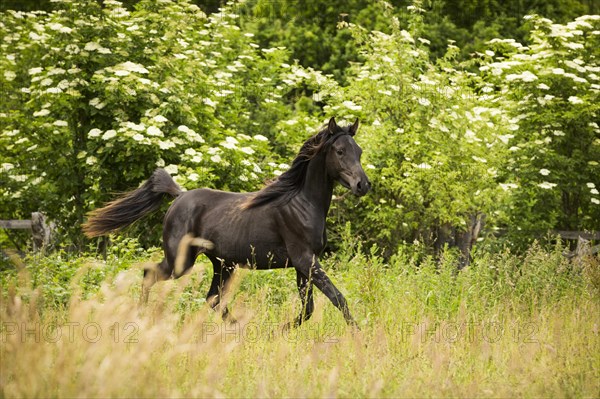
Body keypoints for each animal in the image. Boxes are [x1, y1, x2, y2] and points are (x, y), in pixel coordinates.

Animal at [83, 118, 370, 328]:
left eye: (359, 151)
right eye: (340, 151)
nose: (363, 185)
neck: (301, 203)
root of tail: (179, 196)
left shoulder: (304, 265)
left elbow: (308, 307)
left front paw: (282, 329)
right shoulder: (305, 259)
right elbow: (337, 298)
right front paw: (357, 334)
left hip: (223, 264)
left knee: (212, 298)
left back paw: (239, 328)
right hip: (181, 263)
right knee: (150, 275)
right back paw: (141, 316)